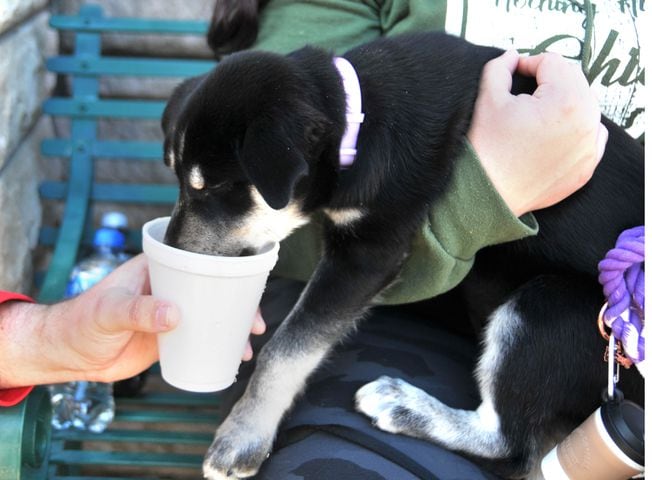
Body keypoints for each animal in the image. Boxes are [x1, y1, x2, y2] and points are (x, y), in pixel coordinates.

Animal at [162, 31, 640, 478]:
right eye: (179, 179)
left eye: (218, 188)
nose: (170, 255)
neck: (358, 119)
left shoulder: (370, 250)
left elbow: (288, 347)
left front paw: (243, 435)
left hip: (546, 307)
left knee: (509, 442)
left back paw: (407, 406)